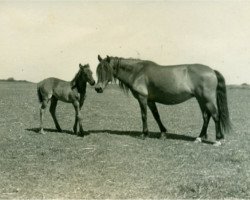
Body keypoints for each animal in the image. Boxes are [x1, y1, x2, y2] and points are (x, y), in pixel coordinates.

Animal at [94, 54, 231, 145]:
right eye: (98, 70)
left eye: (107, 69)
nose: (98, 88)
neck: (137, 72)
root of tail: (212, 71)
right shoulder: (150, 100)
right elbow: (156, 116)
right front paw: (163, 133)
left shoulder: (142, 98)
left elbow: (144, 116)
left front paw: (144, 134)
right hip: (201, 99)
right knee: (206, 117)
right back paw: (199, 138)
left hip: (208, 99)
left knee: (215, 116)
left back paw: (218, 140)